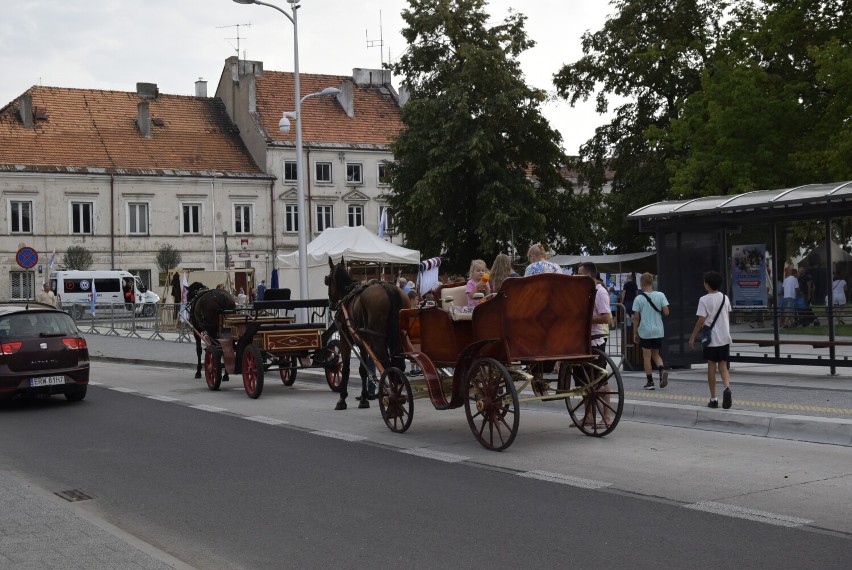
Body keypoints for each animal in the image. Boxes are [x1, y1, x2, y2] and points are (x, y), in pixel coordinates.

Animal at [324, 256, 408, 408]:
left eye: (327, 280)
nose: (331, 304)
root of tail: (388, 287)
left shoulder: (345, 339)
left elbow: (345, 368)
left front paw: (342, 398)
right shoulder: (362, 344)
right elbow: (363, 371)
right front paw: (364, 398)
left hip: (379, 342)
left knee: (387, 365)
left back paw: (391, 396)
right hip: (399, 340)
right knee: (399, 364)